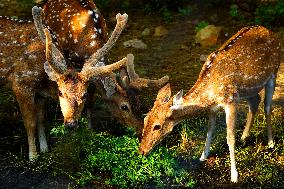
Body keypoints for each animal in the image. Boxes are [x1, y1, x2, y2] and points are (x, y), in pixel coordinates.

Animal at [0, 10, 130, 159]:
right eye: (60, 92)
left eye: (84, 94)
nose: (71, 124)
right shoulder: (21, 83)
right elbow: (30, 123)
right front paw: (33, 156)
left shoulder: (40, 94)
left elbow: (41, 119)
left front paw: (44, 149)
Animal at [139, 25, 280, 182]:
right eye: (145, 119)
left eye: (157, 126)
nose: (142, 150)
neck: (210, 94)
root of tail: (269, 31)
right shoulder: (213, 108)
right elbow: (210, 130)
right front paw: (203, 156)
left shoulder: (231, 101)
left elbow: (230, 138)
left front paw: (234, 175)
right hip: (248, 89)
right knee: (255, 102)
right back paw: (244, 137)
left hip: (274, 72)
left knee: (267, 106)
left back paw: (270, 143)